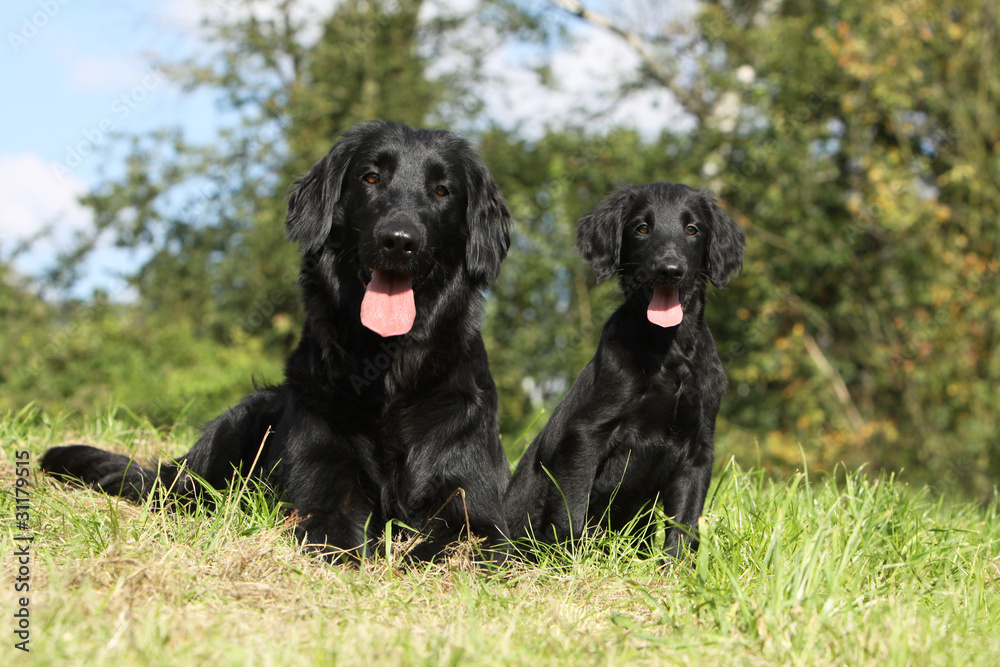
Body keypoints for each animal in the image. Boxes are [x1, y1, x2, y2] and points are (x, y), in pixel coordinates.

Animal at [42, 121, 512, 564]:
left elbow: (453, 545)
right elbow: (338, 537)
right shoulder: (321, 494)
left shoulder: (476, 510)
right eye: (371, 177)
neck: (389, 373)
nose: (398, 241)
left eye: (442, 190)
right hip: (238, 421)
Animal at [508, 183, 744, 560]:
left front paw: (675, 569)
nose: (669, 269)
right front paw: (572, 565)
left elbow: (684, 524)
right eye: (642, 228)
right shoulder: (586, 435)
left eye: (692, 229)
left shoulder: (698, 448)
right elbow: (570, 512)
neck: (668, 350)